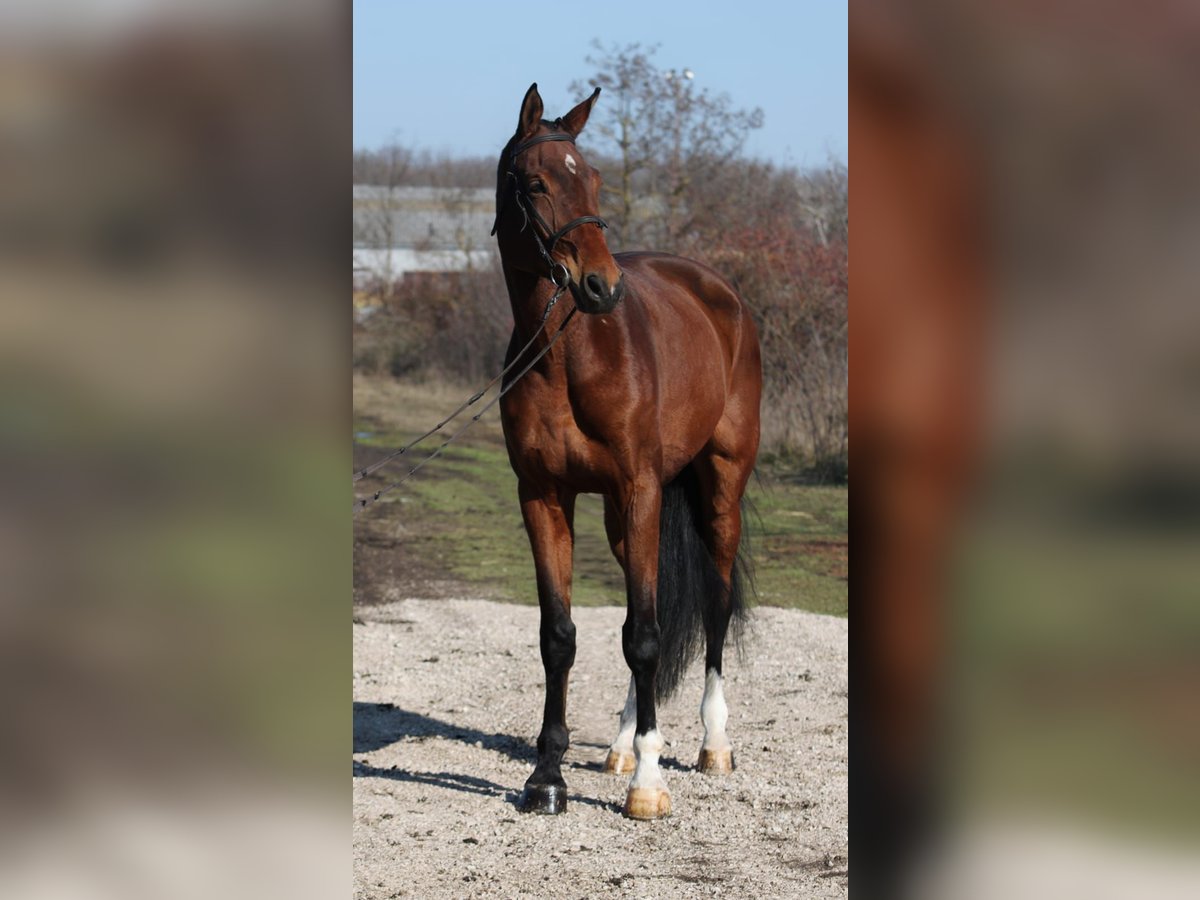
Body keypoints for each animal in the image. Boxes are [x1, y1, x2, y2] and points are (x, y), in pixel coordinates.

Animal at [489, 82, 758, 816]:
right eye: (534, 183)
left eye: (595, 179)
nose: (601, 286)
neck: (565, 360)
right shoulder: (544, 496)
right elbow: (561, 637)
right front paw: (547, 777)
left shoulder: (640, 488)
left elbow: (643, 635)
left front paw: (650, 785)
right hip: (622, 515)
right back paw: (620, 745)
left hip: (718, 492)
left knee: (714, 606)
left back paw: (711, 746)